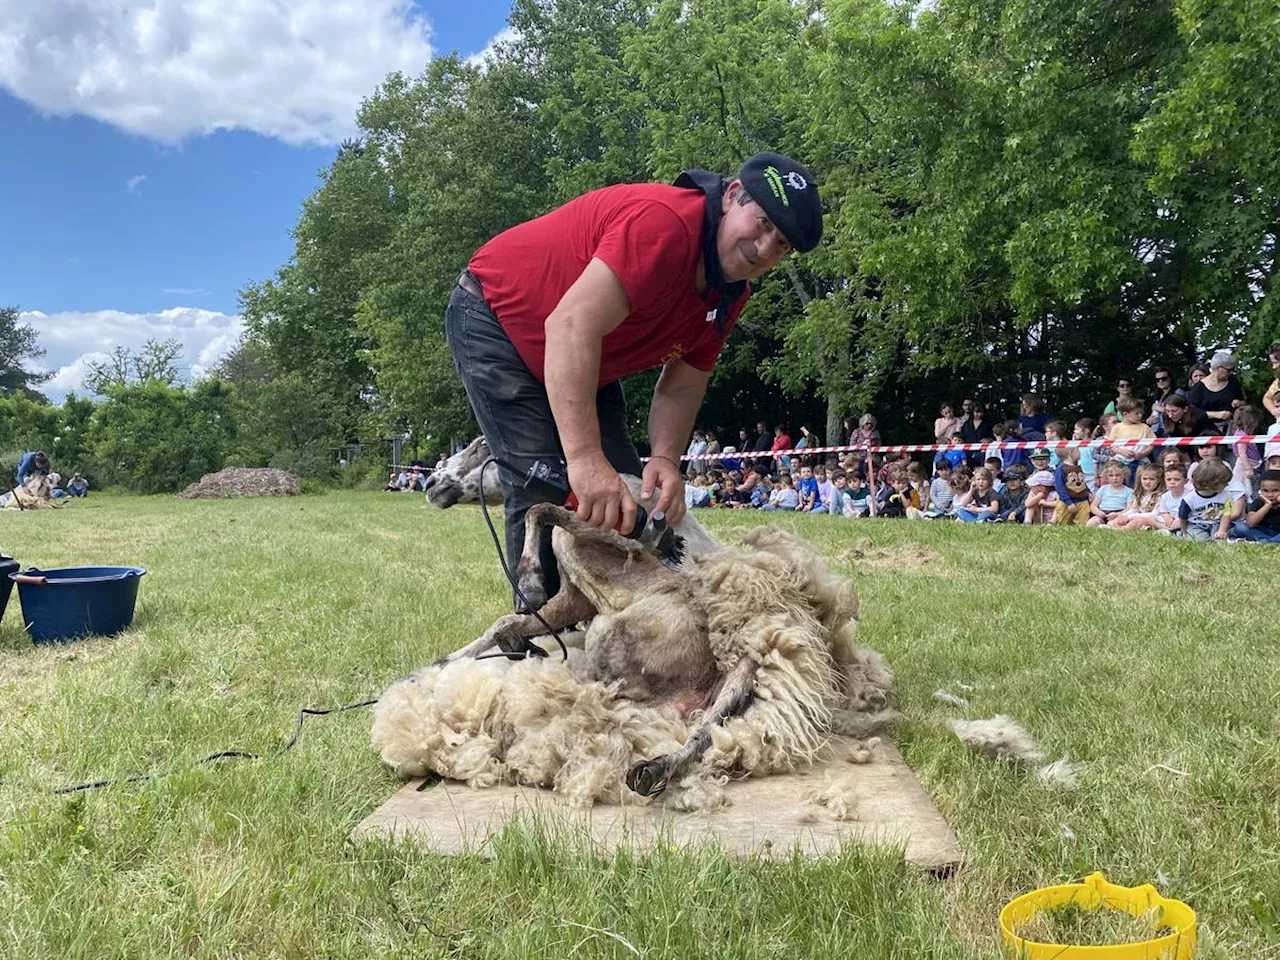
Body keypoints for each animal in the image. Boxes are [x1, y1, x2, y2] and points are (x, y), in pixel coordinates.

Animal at [371, 488, 896, 814]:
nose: (431, 487)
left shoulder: (603, 554)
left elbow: (543, 511)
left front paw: (528, 578)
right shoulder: (573, 600)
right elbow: (510, 618)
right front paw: (447, 660)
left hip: (624, 646)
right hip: (714, 697)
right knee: (697, 736)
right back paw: (649, 770)